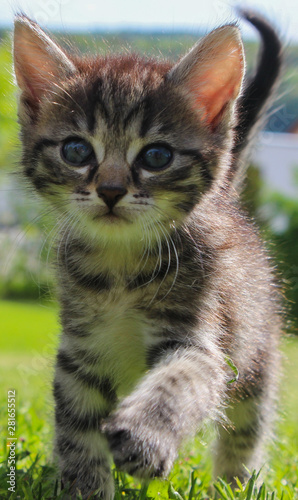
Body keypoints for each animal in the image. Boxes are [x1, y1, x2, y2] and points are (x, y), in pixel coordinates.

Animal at [13, 11, 282, 500]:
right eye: (76, 151)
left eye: (156, 156)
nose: (111, 190)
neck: (120, 268)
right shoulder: (80, 355)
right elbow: (76, 430)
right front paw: (86, 488)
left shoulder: (203, 342)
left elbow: (180, 381)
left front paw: (145, 437)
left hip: (256, 355)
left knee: (245, 434)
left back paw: (232, 485)